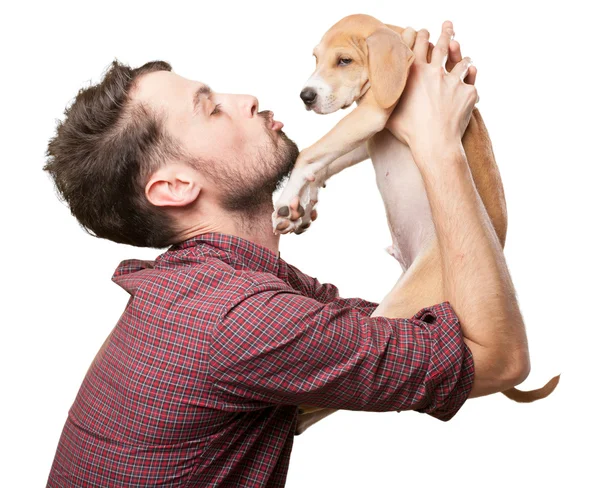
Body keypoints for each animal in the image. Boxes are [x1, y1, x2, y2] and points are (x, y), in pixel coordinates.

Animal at [270, 14, 560, 434]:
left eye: (344, 61)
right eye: (316, 58)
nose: (305, 96)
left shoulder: (374, 113)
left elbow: (309, 153)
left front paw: (289, 198)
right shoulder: (370, 131)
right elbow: (324, 160)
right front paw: (302, 203)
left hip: (397, 309)